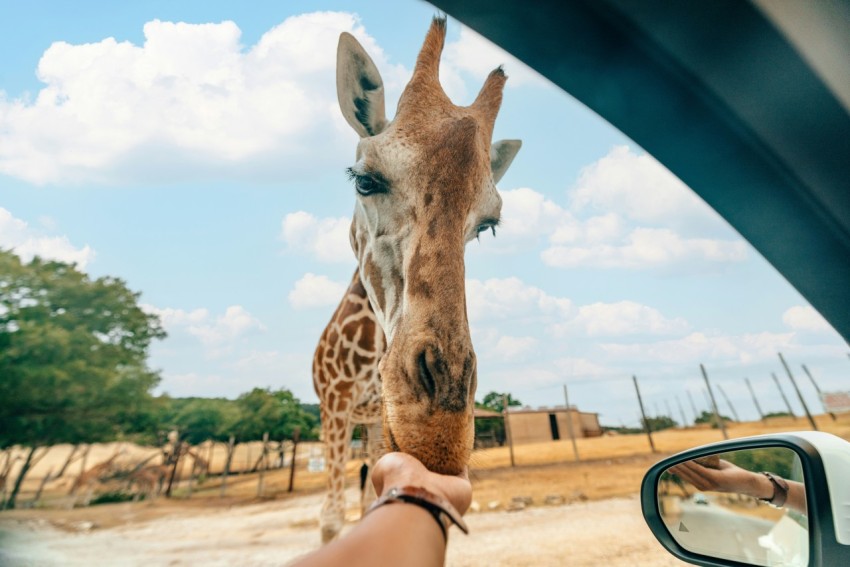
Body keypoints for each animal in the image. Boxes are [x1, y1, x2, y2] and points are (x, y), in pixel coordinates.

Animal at [314, 15, 520, 544]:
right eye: (365, 180)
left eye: (487, 225)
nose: (439, 432)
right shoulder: (335, 409)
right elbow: (330, 523)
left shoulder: (371, 421)